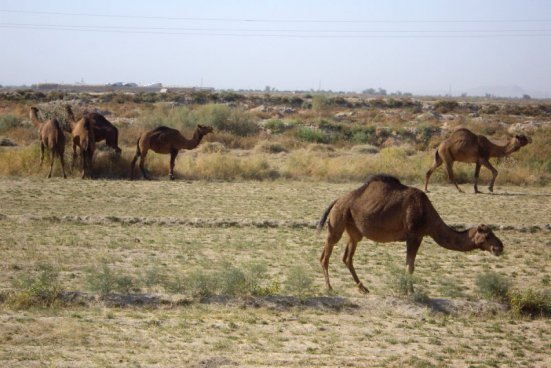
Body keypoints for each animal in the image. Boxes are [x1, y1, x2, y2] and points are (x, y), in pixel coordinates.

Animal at [320, 175, 504, 294]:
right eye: (488, 236)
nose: (499, 247)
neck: (429, 216)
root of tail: (336, 201)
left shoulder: (418, 236)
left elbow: (410, 265)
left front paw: (409, 290)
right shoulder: (414, 235)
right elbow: (410, 266)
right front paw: (411, 291)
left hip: (354, 230)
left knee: (347, 257)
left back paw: (363, 288)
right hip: (338, 219)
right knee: (326, 253)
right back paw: (329, 287)